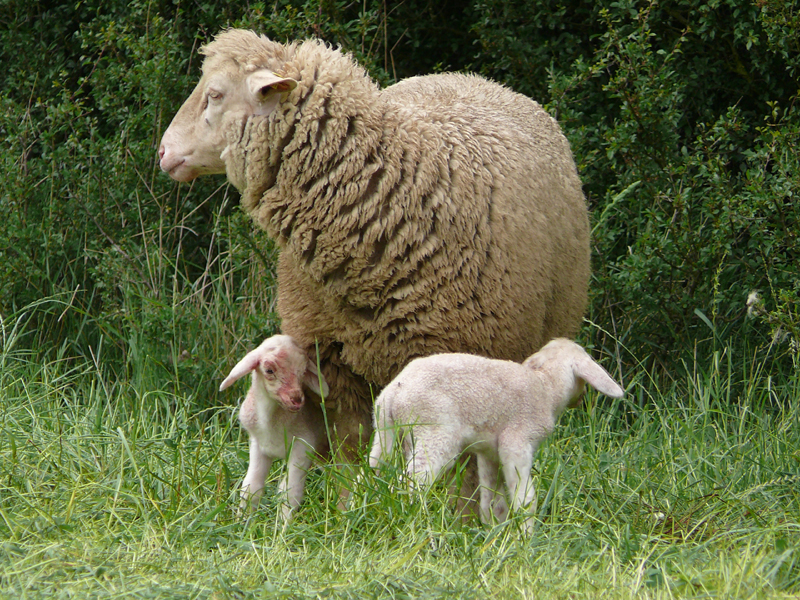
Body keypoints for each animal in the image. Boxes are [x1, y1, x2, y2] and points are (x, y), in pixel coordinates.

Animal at [219, 336, 328, 524]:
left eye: (303, 371)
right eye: (269, 370)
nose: (296, 399)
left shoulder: (303, 444)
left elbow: (290, 493)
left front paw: (284, 528)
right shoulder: (258, 445)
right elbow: (250, 488)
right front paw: (242, 522)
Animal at [368, 340, 624, 532]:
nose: (582, 400)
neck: (546, 387)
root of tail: (395, 391)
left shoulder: (489, 452)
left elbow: (492, 498)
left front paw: (493, 530)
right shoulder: (517, 441)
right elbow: (524, 497)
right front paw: (525, 536)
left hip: (385, 431)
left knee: (373, 471)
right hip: (435, 432)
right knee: (410, 481)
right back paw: (413, 517)